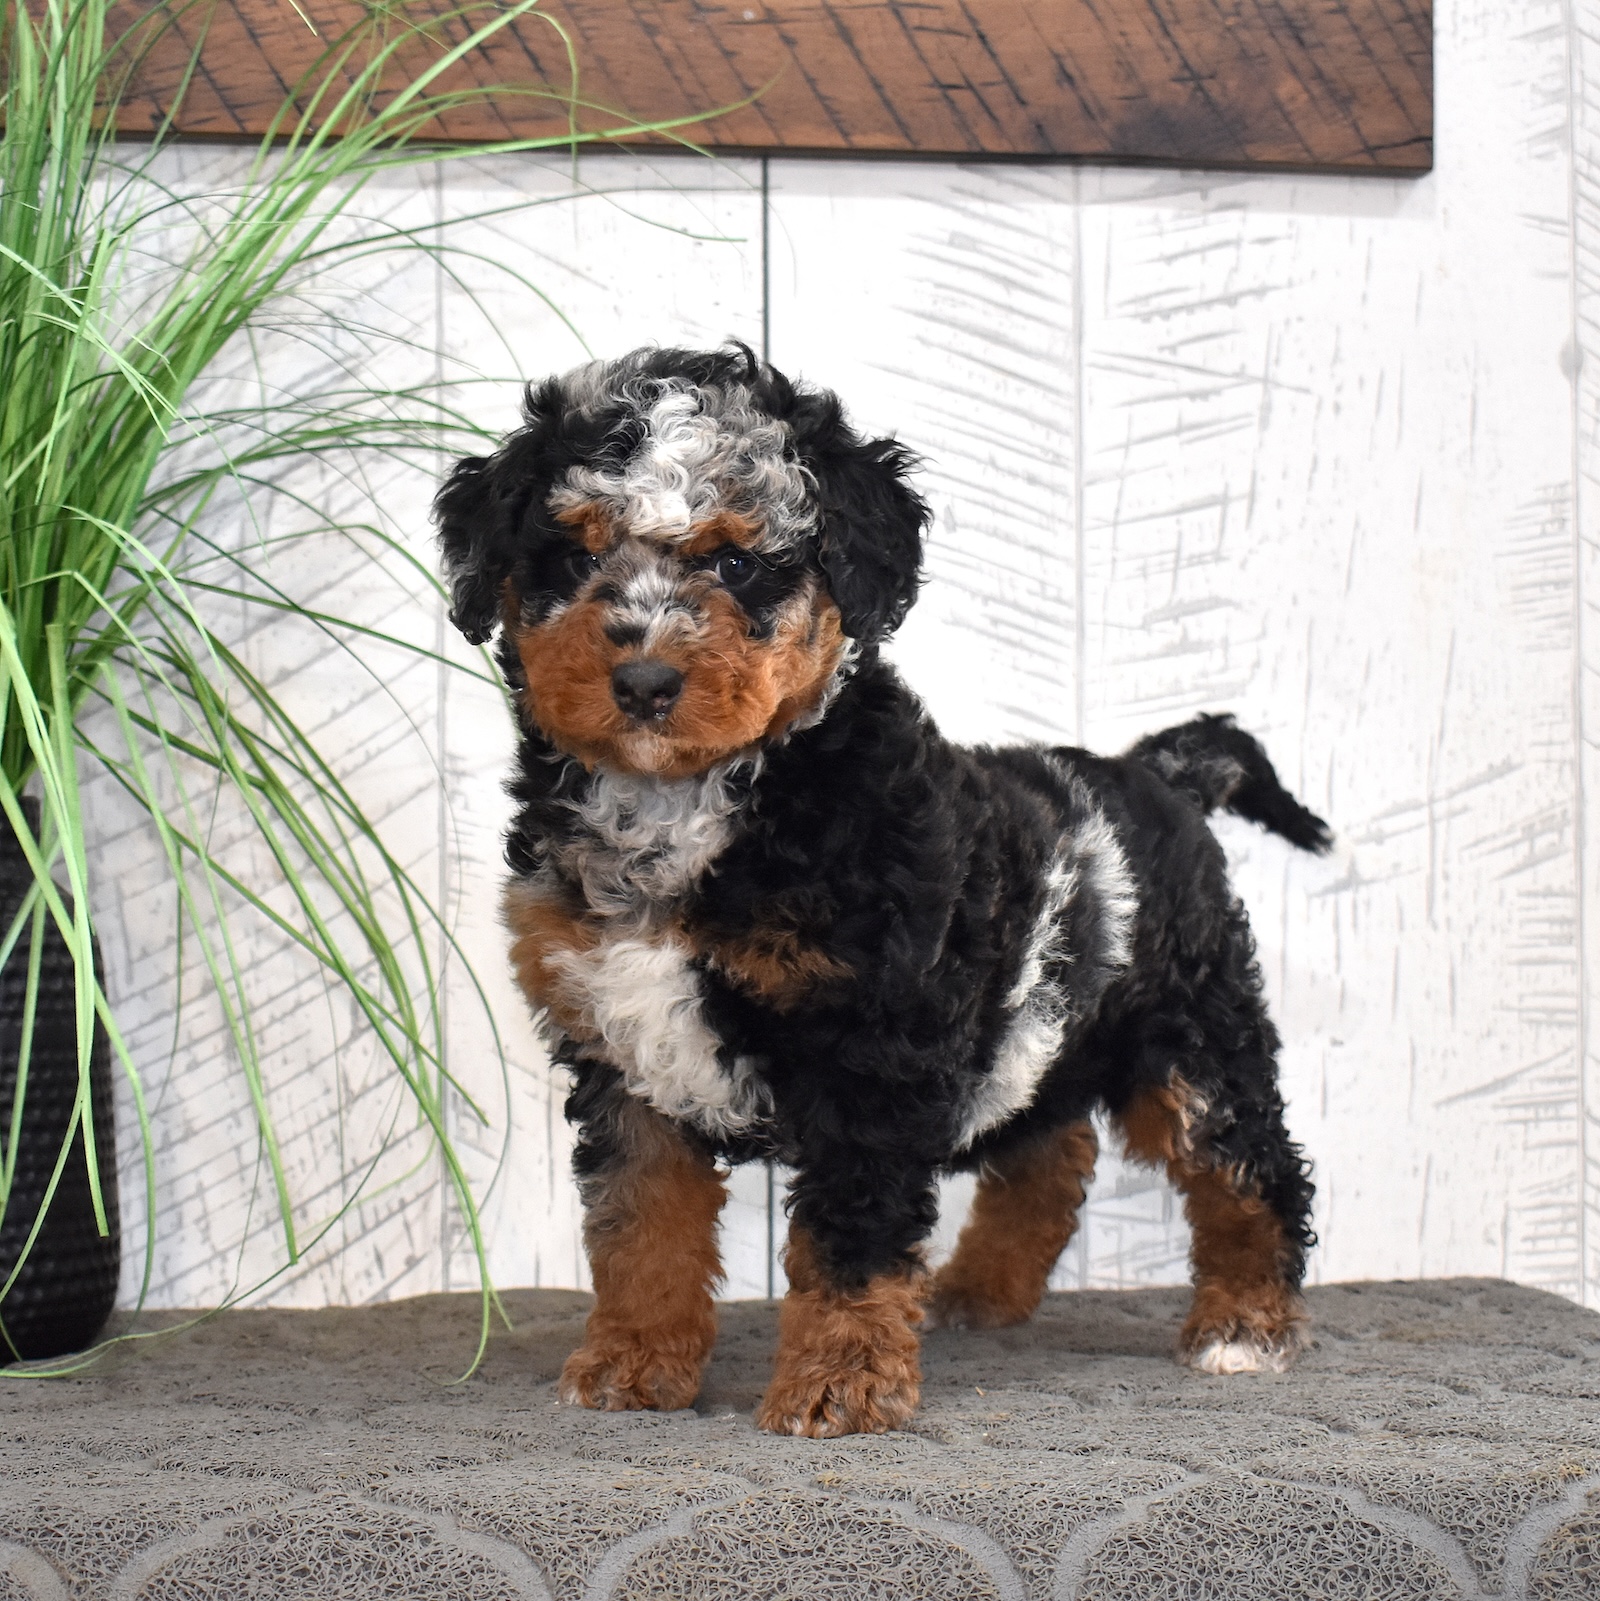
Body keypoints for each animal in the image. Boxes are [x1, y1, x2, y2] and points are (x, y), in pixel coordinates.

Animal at [436, 343, 1329, 1438]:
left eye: (737, 563)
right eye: (569, 555)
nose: (643, 681)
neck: (698, 802)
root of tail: (1155, 771)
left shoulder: (872, 1044)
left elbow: (849, 1237)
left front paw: (839, 1383)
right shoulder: (622, 1048)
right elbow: (640, 1221)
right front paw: (633, 1362)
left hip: (1192, 1028)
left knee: (1249, 1165)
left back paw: (1245, 1323)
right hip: (1043, 1025)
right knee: (1052, 1147)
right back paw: (980, 1290)